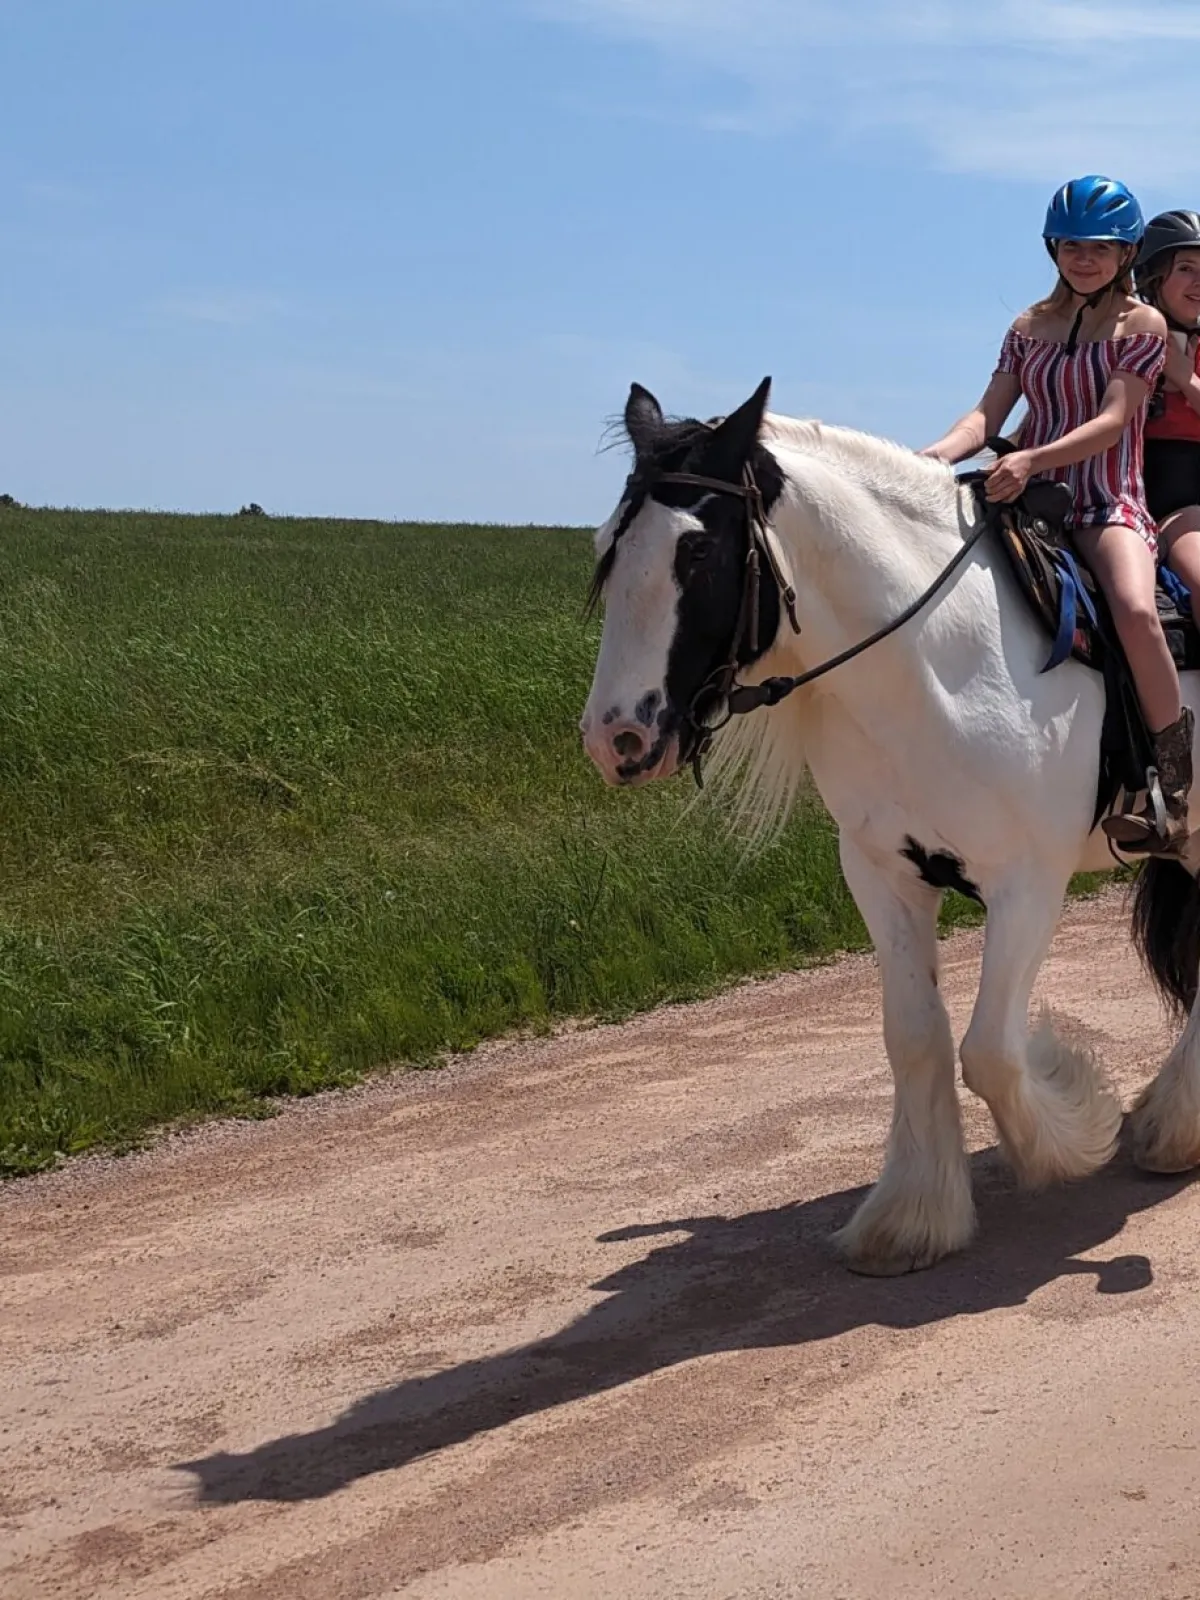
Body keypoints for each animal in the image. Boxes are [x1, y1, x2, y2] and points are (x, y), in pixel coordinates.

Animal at [579, 376, 1200, 1275]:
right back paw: (1174, 1125)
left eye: (696, 552)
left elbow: (991, 1051)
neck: (937, 660)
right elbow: (915, 1038)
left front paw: (1073, 1127)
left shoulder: (1027, 883)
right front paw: (910, 1219)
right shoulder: (883, 876)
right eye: (608, 546)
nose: (616, 737)